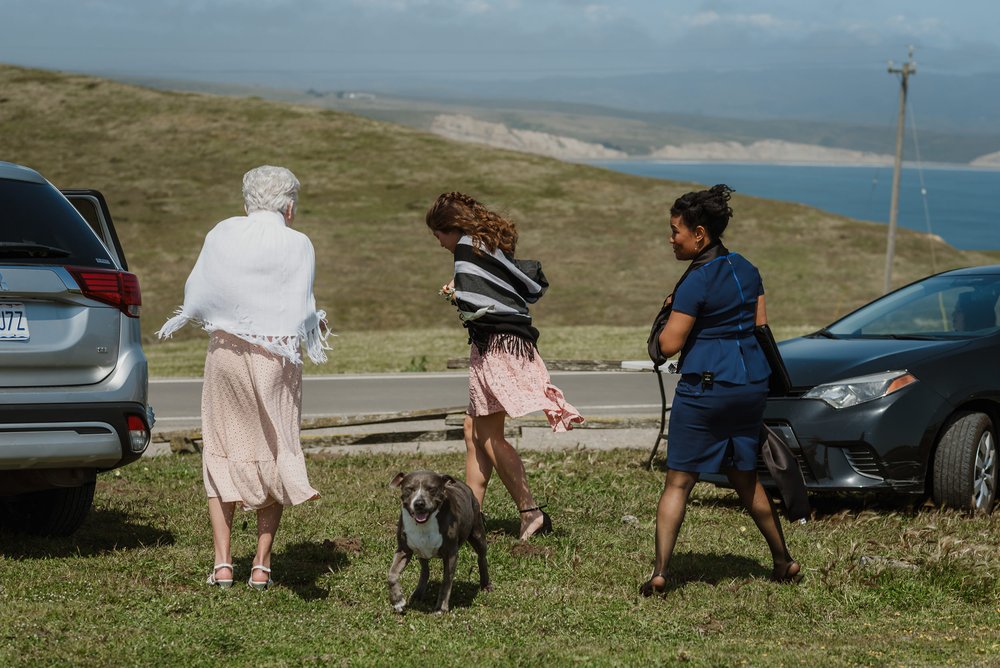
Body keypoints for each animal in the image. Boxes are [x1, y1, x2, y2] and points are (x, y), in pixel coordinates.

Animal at [386, 468, 492, 612]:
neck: (424, 524)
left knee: (482, 557)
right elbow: (392, 575)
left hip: (477, 533)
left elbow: (446, 581)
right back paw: (418, 593)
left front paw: (441, 607)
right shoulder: (403, 550)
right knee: (425, 571)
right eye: (409, 489)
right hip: (422, 552)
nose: (419, 503)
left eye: (432, 489)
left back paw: (486, 585)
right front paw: (397, 600)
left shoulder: (451, 554)